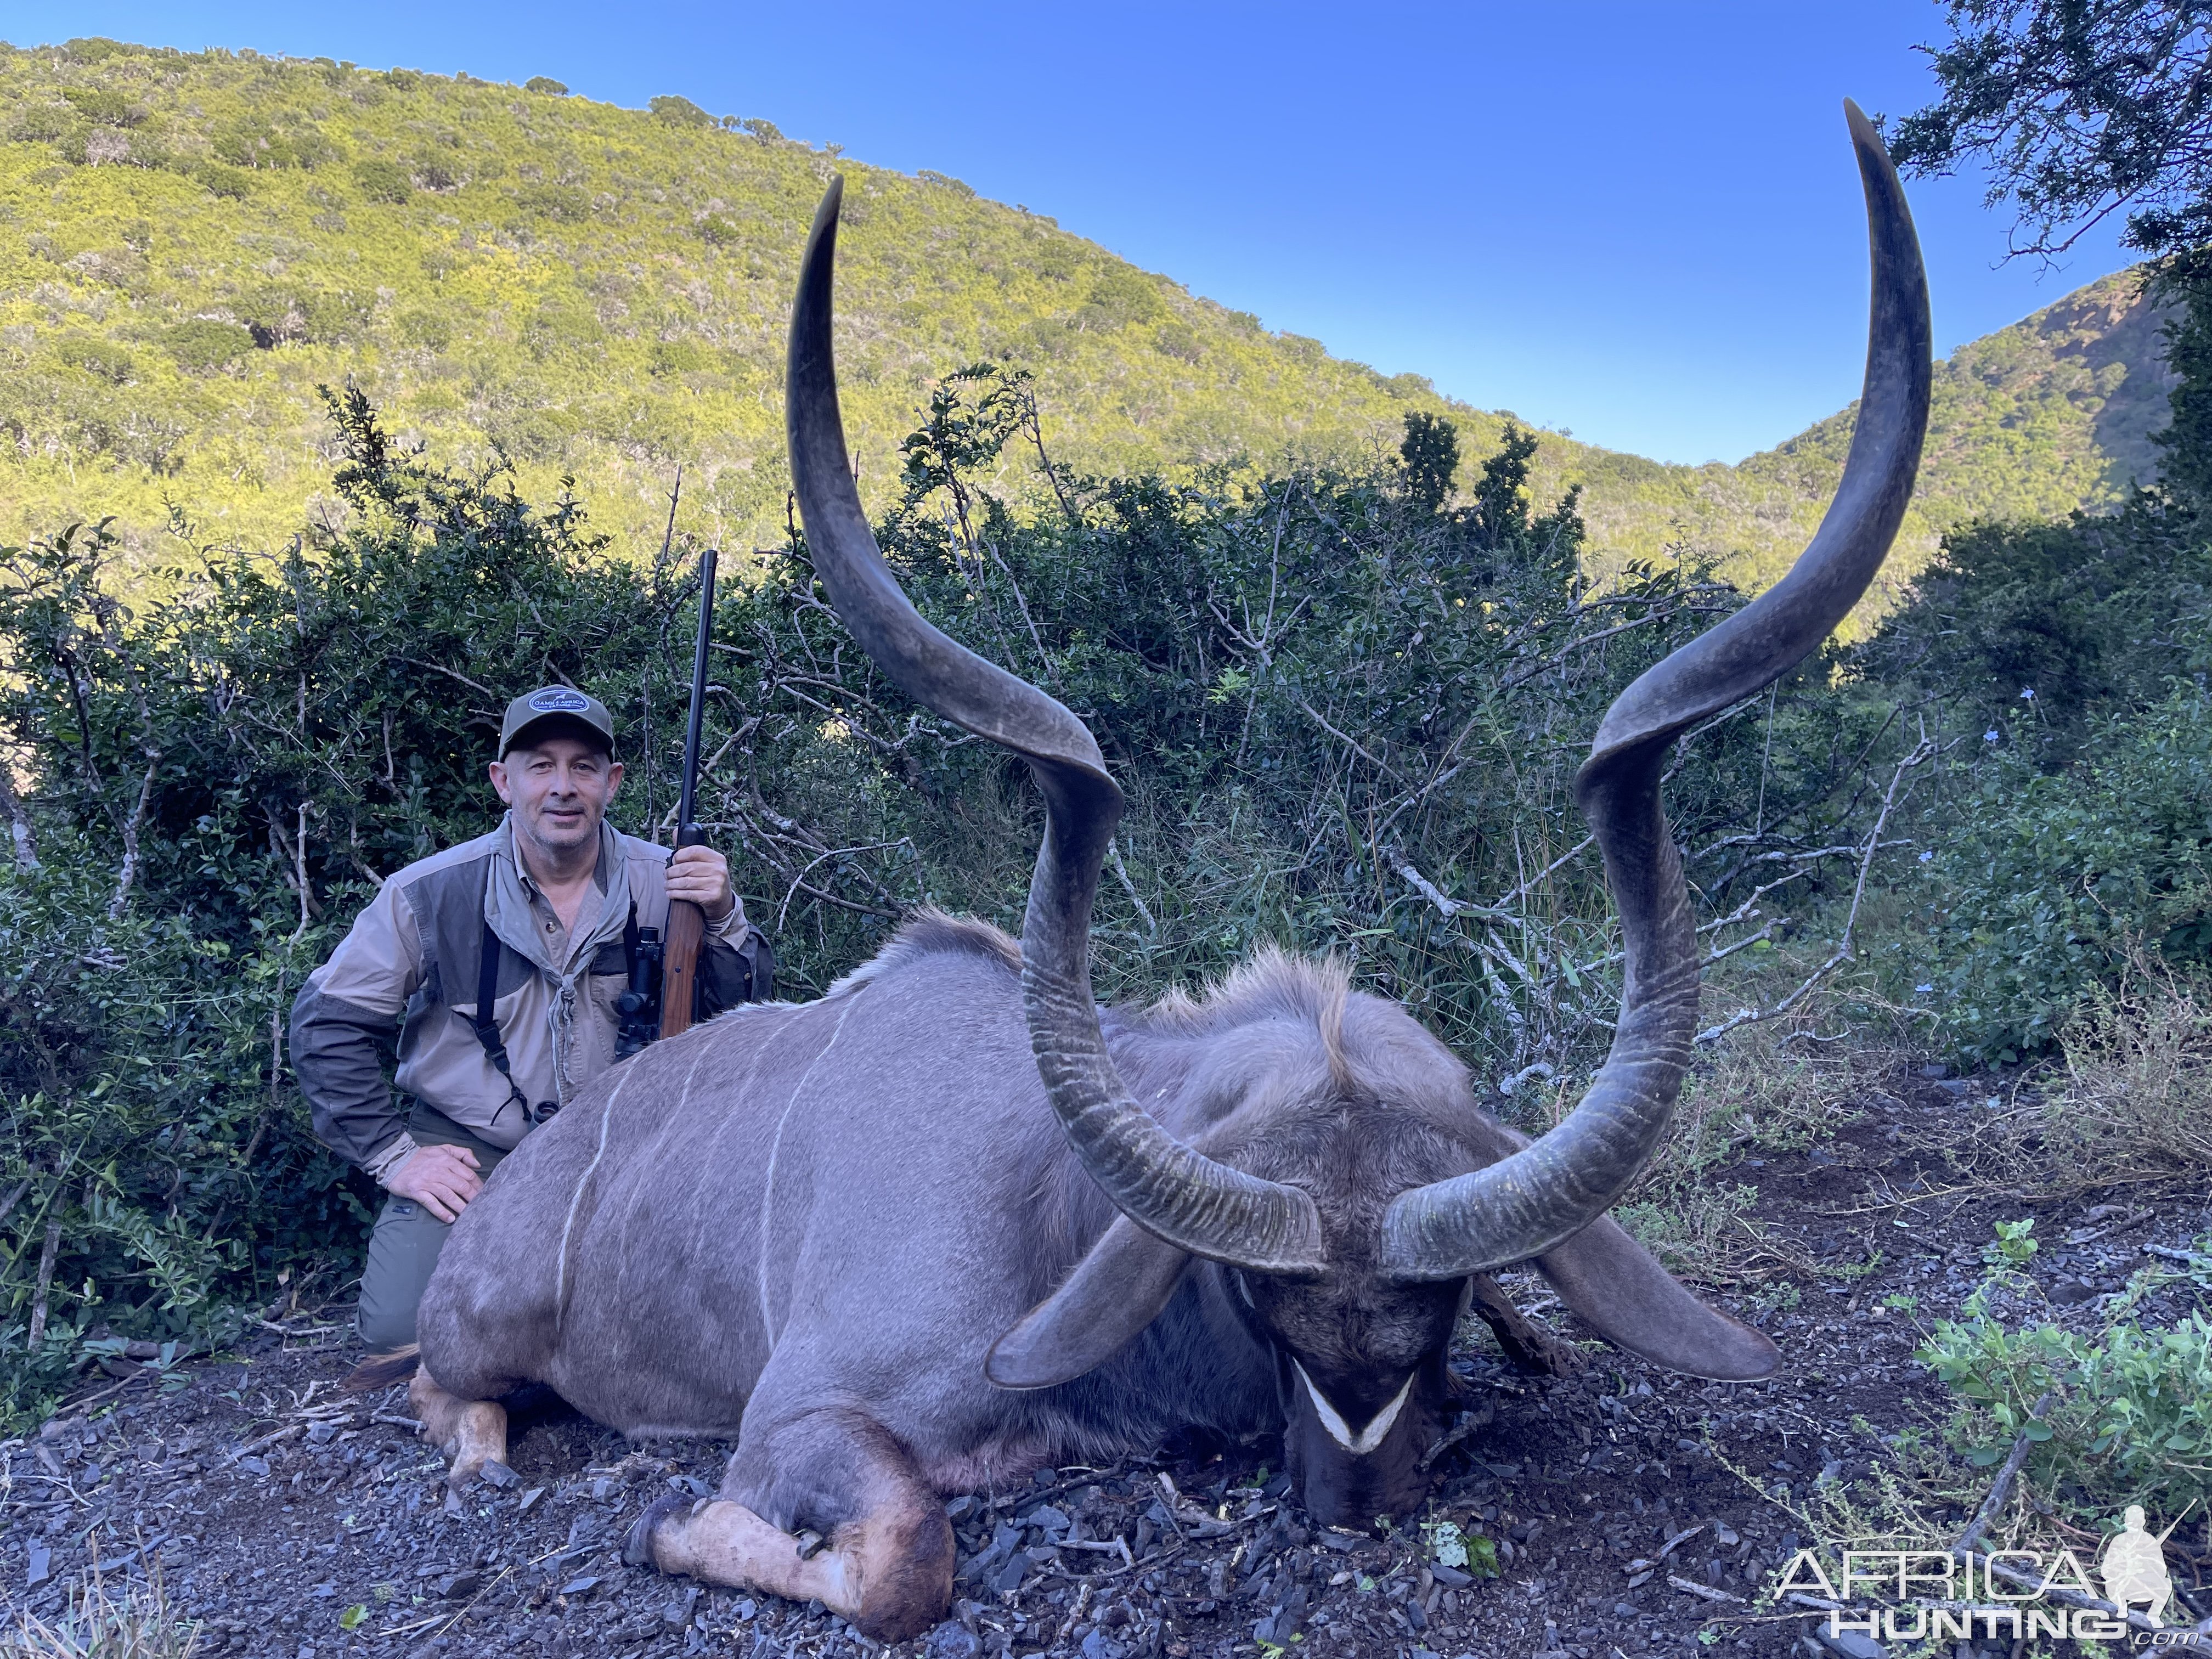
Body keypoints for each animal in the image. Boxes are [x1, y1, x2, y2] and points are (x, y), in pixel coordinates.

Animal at [389, 107, 1928, 1654]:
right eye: (1254, 1305)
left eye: (1441, 1311)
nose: (1354, 1505)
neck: (1051, 1198)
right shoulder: (800, 1416)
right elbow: (903, 1558)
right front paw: (666, 1527)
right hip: (478, 1339)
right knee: (439, 1389)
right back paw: (475, 1452)